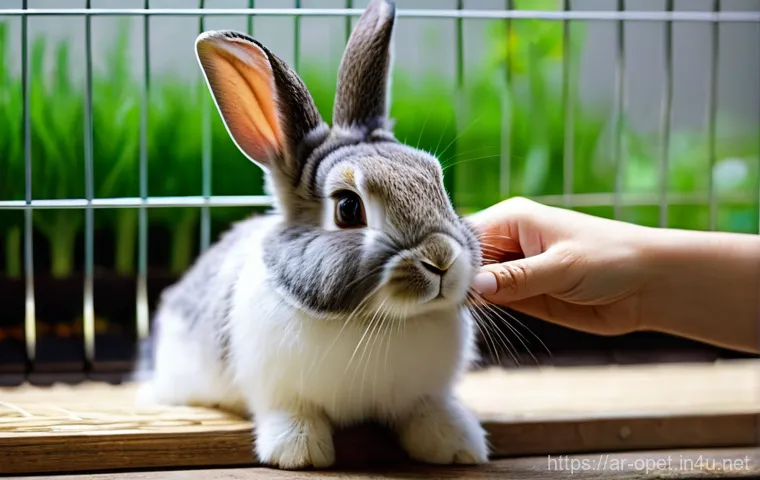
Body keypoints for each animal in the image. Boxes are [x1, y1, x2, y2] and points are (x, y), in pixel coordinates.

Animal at [134, 0, 489, 470]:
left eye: (438, 182)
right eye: (348, 208)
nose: (441, 258)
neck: (376, 321)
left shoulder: (423, 395)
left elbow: (429, 410)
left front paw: (457, 445)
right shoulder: (280, 391)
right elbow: (292, 414)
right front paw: (299, 453)